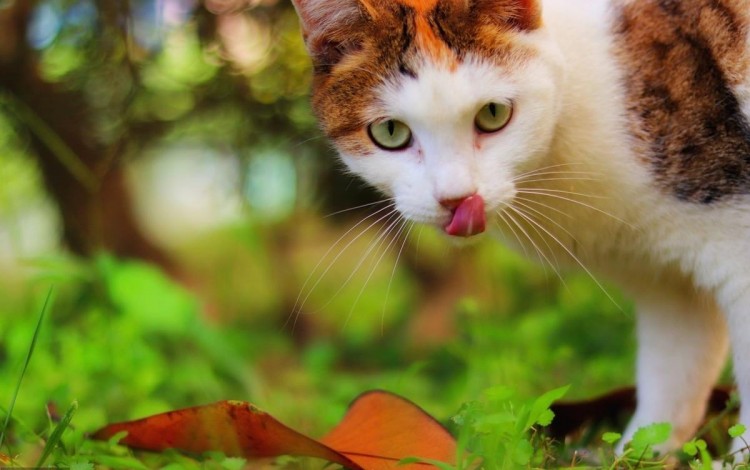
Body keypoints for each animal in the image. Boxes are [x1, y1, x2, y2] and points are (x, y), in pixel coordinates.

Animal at [290, 0, 750, 458]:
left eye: (493, 114)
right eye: (390, 132)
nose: (456, 199)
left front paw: (732, 461)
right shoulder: (667, 286)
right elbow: (672, 373)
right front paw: (635, 455)